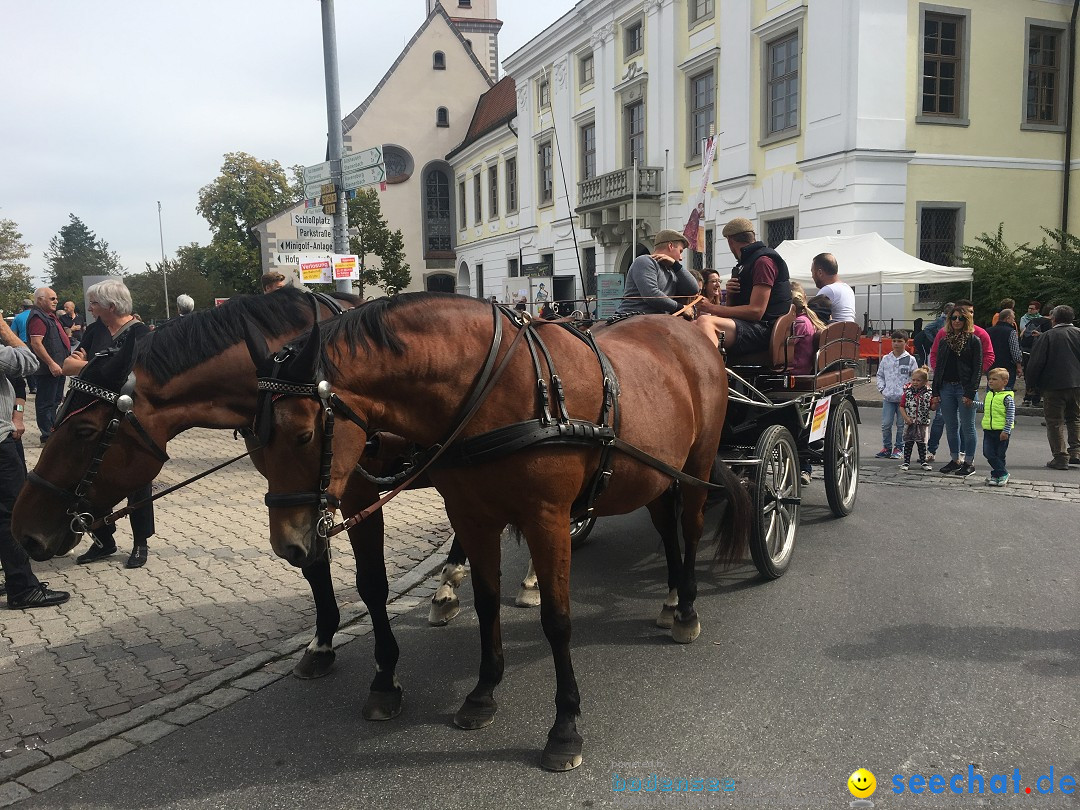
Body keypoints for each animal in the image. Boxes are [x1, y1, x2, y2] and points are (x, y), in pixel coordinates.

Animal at [251, 293, 747, 773]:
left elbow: (557, 620)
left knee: (690, 528)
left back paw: (686, 608)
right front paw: (483, 691)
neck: (497, 390)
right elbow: (487, 603)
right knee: (665, 528)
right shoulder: (472, 517)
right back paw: (670, 599)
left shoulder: (548, 520)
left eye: (303, 435)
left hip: (696, 466)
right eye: (255, 440)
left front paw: (564, 727)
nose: (289, 544)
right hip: (656, 475)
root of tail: (691, 332)